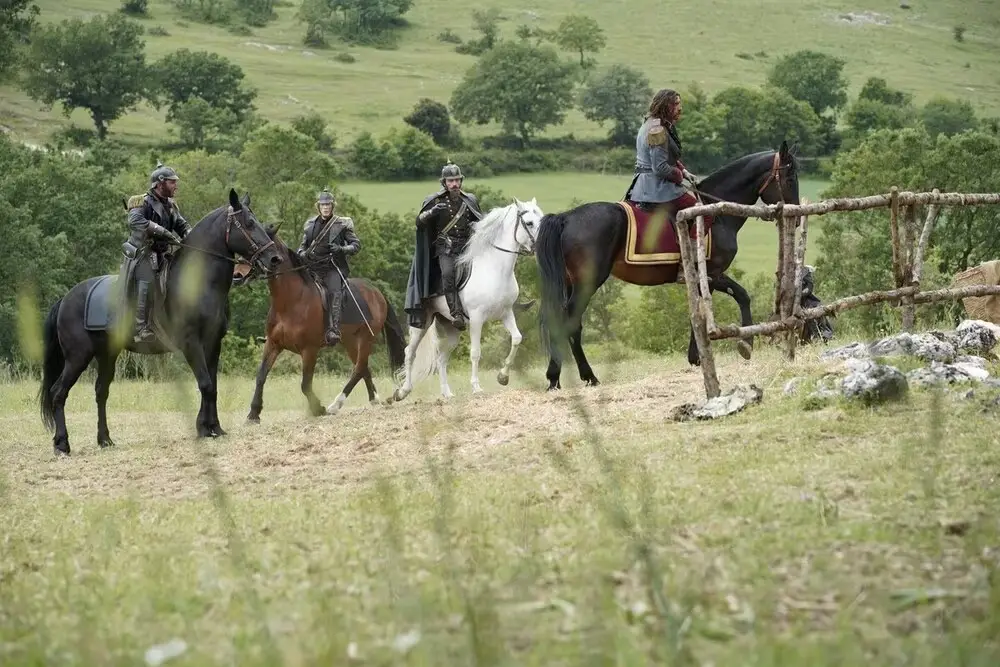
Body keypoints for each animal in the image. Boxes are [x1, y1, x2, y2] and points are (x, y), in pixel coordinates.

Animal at [38, 190, 282, 456]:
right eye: (248, 223)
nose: (274, 258)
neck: (196, 284)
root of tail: (66, 299)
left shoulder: (213, 343)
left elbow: (213, 385)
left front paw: (214, 427)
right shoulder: (191, 344)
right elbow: (206, 384)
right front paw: (204, 429)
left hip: (107, 354)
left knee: (101, 392)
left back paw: (105, 440)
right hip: (77, 357)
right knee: (58, 393)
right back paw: (62, 444)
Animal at [230, 227, 406, 420]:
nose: (237, 275)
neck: (291, 301)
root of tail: (377, 293)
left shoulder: (309, 350)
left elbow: (305, 384)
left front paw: (318, 409)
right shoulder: (273, 344)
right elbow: (261, 375)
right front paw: (253, 413)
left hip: (366, 338)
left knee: (359, 369)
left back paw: (335, 405)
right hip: (350, 341)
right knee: (363, 368)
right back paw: (374, 399)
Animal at [392, 196, 548, 400]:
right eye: (529, 223)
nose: (543, 243)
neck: (494, 269)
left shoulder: (506, 314)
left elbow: (516, 339)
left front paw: (503, 377)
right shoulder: (476, 318)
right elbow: (475, 353)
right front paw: (476, 387)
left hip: (452, 329)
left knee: (441, 358)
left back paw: (447, 393)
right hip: (422, 323)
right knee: (409, 352)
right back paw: (402, 391)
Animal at [536, 142, 800, 392]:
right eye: (789, 178)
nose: (796, 217)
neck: (715, 212)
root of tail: (566, 217)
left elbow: (709, 307)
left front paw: (697, 356)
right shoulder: (712, 273)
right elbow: (739, 297)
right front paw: (744, 345)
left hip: (570, 283)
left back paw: (554, 378)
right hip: (587, 283)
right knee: (571, 322)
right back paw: (588, 376)